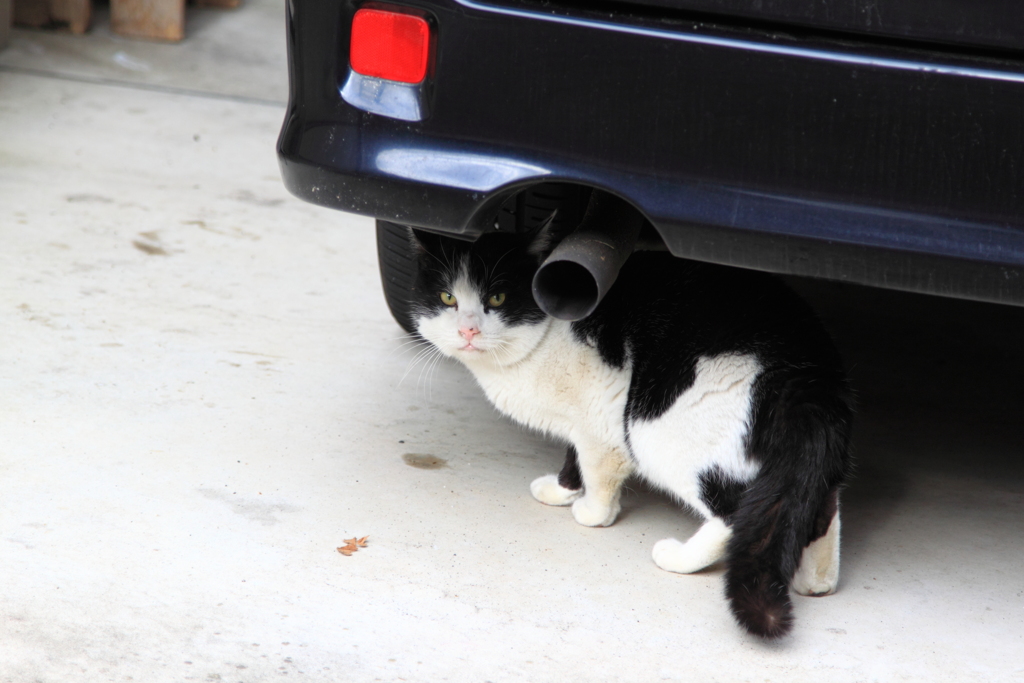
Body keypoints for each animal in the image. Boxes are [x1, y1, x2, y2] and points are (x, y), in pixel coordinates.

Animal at [403, 225, 851, 643]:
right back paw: (816, 580)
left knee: (735, 513)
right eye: (447, 298)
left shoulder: (603, 416)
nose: (468, 331)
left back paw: (679, 557)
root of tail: (807, 374)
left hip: (654, 425)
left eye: (496, 299)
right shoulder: (580, 421)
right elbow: (573, 457)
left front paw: (592, 512)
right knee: (818, 505)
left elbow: (597, 469)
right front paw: (562, 490)